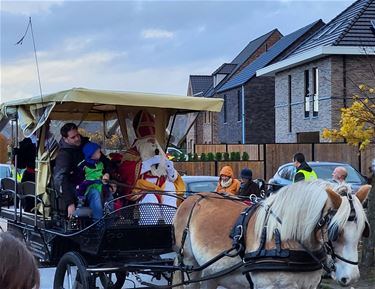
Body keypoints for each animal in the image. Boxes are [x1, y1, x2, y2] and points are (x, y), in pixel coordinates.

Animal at [173, 180, 370, 288]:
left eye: (362, 231)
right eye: (335, 232)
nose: (351, 277)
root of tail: (192, 198)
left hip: (211, 273)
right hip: (190, 268)